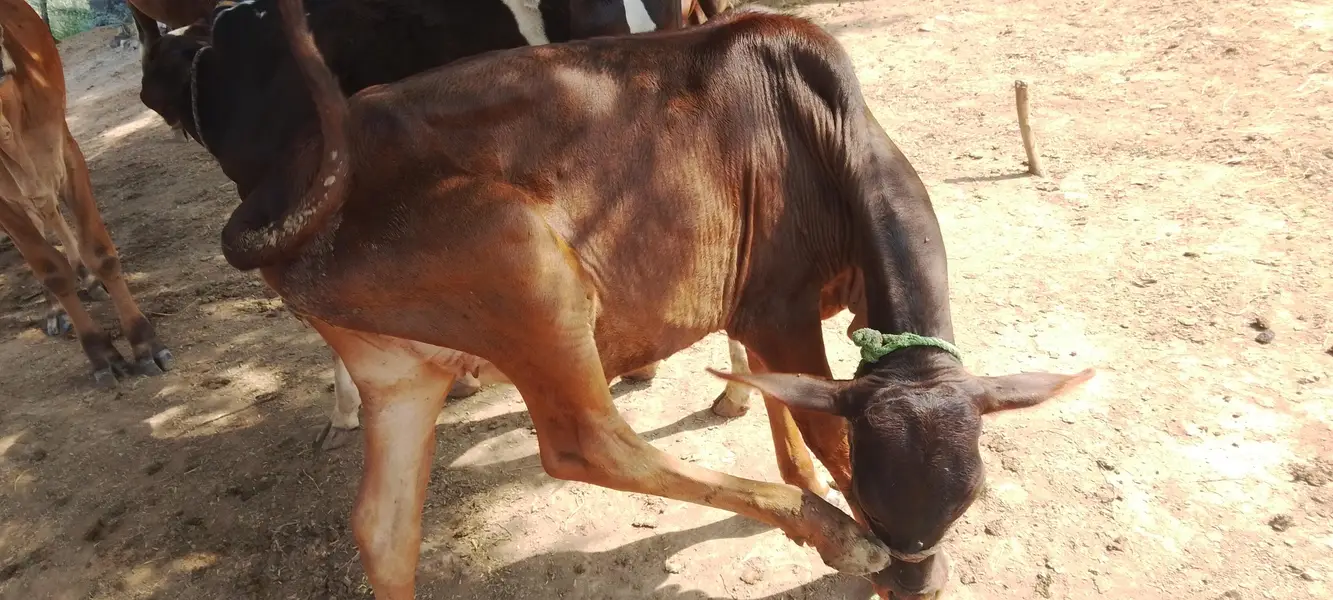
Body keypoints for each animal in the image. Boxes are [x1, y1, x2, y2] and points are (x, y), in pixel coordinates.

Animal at [0, 0, 171, 385]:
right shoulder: (5, 201)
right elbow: (49, 269)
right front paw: (100, 353)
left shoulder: (66, 154)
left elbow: (101, 253)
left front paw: (144, 343)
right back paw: (55, 309)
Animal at [234, 0, 1098, 597]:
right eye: (879, 502)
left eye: (966, 500)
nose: (911, 579)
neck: (821, 132)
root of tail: (295, 185)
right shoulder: (779, 307)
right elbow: (822, 424)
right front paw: (839, 515)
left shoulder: (787, 310)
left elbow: (776, 396)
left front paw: (793, 465)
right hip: (527, 271)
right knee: (586, 445)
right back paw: (822, 531)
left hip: (400, 371)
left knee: (382, 530)